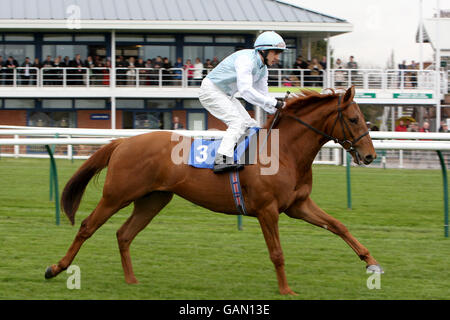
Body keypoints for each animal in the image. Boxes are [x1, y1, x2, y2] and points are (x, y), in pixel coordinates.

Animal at [45, 85, 382, 296]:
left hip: (153, 200)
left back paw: (131, 280)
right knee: (87, 226)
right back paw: (56, 268)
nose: (369, 156)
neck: (284, 151)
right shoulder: (267, 210)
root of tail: (123, 142)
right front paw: (286, 290)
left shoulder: (297, 205)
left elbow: (338, 225)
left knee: (124, 234)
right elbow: (277, 253)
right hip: (117, 194)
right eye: (354, 118)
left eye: (365, 119)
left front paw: (371, 262)